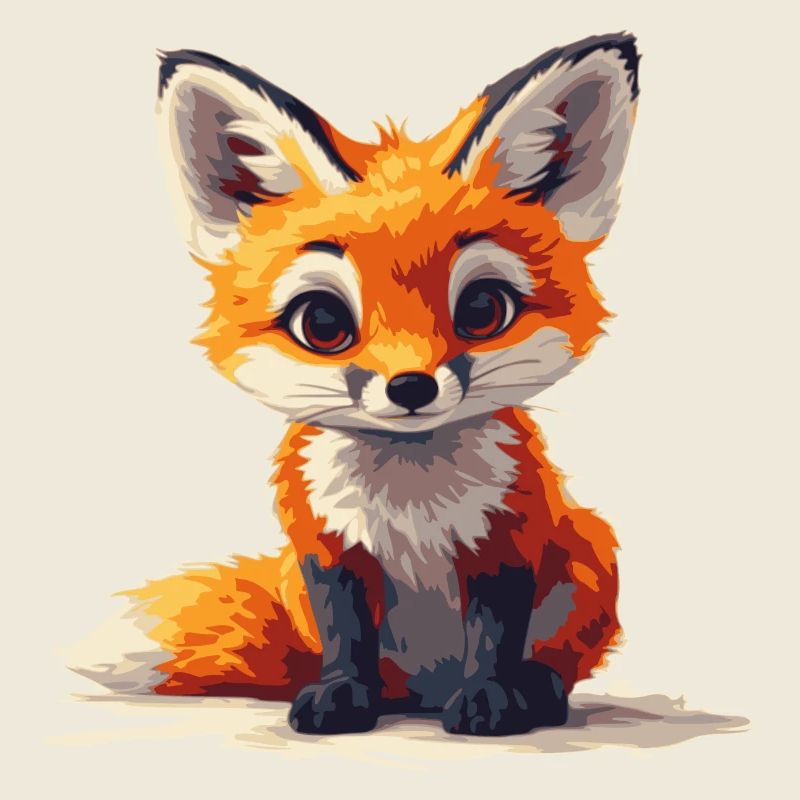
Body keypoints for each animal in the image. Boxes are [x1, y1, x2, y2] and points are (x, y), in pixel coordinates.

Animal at [77, 33, 640, 736]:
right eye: (322, 323)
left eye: (483, 310)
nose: (411, 388)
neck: (410, 503)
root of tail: (425, 690)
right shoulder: (326, 551)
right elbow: (346, 638)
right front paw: (342, 695)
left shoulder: (507, 542)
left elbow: (494, 638)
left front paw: (490, 696)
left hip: (591, 557)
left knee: (551, 659)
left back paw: (536, 691)